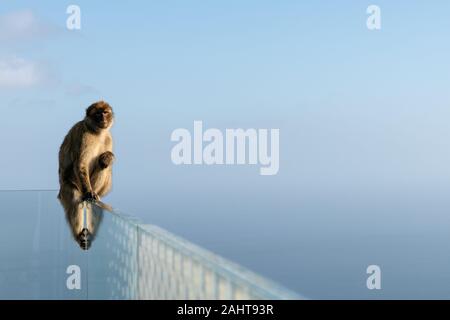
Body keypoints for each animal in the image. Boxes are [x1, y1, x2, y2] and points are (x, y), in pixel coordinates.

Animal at [57, 101, 114, 249]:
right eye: (98, 113)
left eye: (105, 112)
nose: (103, 118)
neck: (97, 132)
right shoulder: (85, 135)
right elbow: (80, 164)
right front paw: (89, 192)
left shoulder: (109, 137)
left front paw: (108, 158)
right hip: (68, 186)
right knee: (74, 197)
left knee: (102, 165)